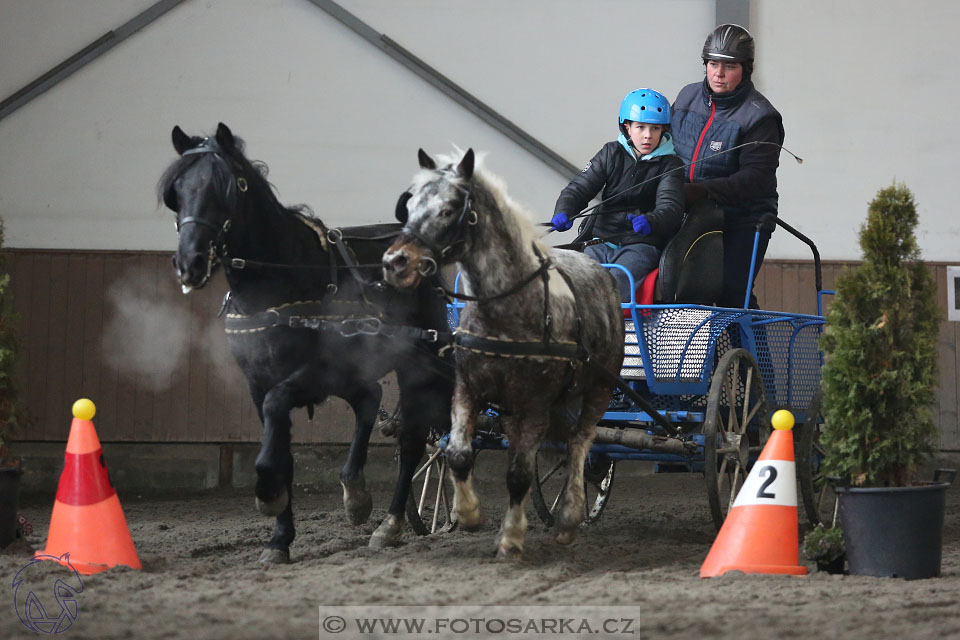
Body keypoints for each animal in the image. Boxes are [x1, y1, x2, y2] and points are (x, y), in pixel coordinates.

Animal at [158, 122, 454, 564]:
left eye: (224, 189)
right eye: (175, 192)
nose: (189, 263)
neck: (278, 280)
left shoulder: (313, 373)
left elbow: (277, 418)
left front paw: (267, 495)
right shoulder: (257, 382)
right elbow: (280, 451)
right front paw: (279, 538)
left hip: (419, 361)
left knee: (414, 440)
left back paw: (389, 523)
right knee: (370, 399)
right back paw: (358, 494)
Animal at [386, 150, 628, 560]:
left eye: (449, 209)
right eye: (410, 204)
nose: (395, 262)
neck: (506, 307)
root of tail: (601, 270)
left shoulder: (536, 402)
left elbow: (519, 473)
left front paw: (512, 538)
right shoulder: (467, 389)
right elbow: (458, 454)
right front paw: (468, 514)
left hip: (600, 386)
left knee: (581, 442)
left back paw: (568, 519)